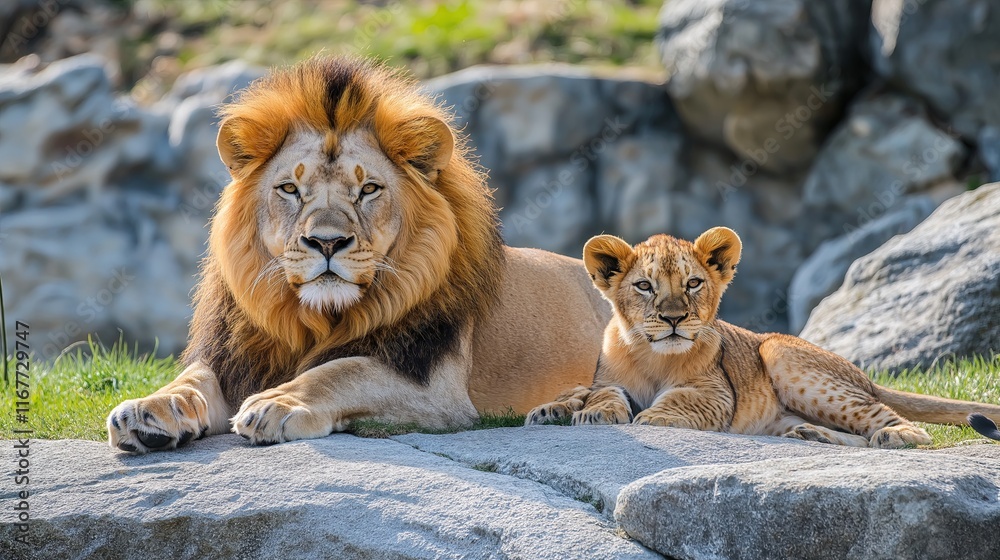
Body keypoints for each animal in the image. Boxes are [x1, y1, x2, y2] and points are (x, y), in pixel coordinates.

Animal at [106, 56, 611, 453]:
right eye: (290, 189)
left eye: (368, 189)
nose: (327, 243)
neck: (314, 319)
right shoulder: (236, 358)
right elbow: (190, 380)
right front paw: (147, 410)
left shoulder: (437, 387)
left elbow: (343, 370)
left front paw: (277, 403)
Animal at [525, 228, 1000, 449]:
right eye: (644, 286)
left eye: (693, 283)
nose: (674, 319)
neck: (653, 356)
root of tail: (865, 377)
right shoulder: (609, 379)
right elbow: (603, 392)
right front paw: (587, 411)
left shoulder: (716, 393)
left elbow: (679, 401)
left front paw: (651, 418)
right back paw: (812, 436)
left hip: (780, 353)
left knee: (888, 420)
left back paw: (897, 436)